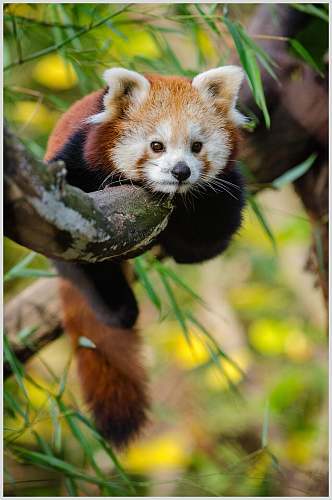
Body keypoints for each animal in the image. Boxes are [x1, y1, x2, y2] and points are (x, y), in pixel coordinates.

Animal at [44, 67, 246, 450]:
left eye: (197, 146)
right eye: (156, 145)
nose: (181, 171)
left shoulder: (225, 191)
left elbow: (210, 237)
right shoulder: (76, 160)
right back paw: (119, 307)